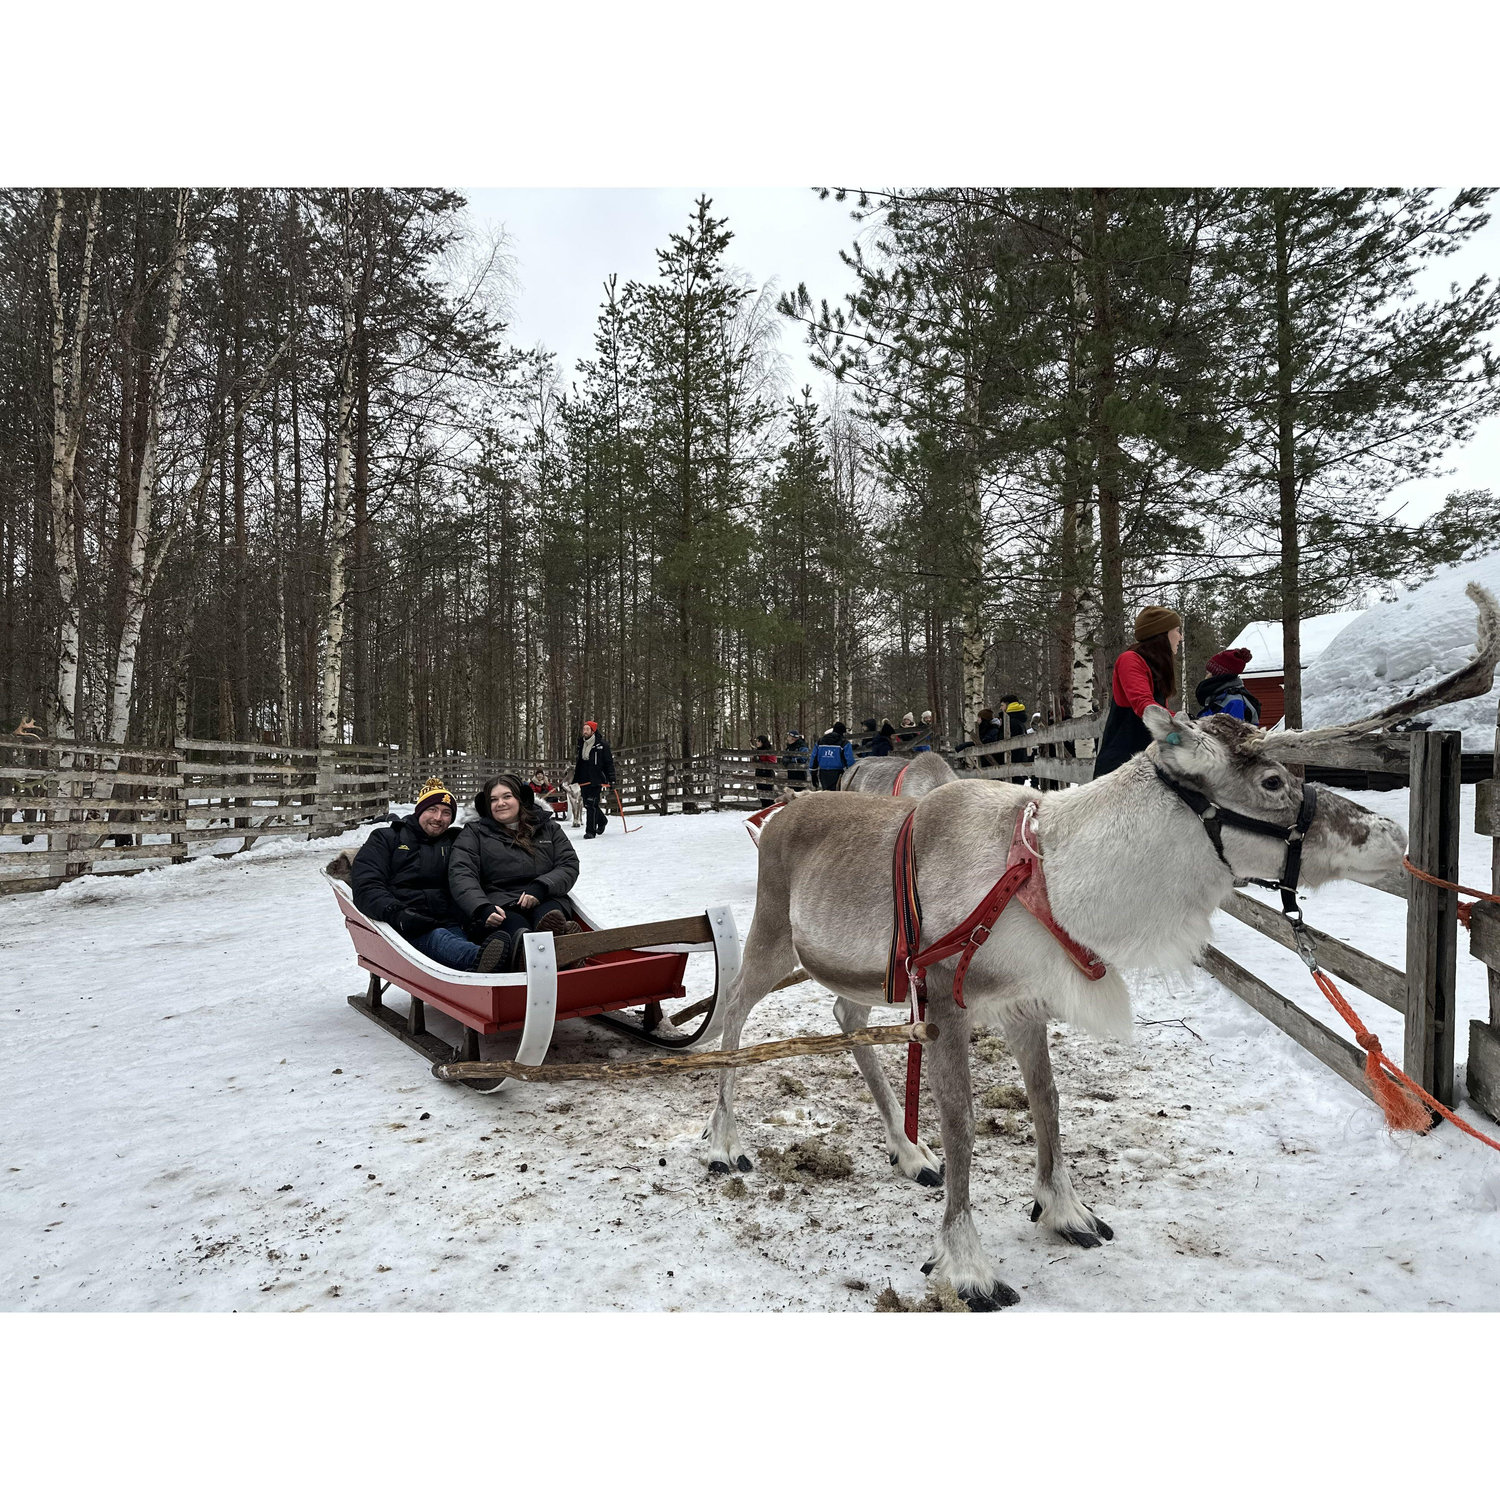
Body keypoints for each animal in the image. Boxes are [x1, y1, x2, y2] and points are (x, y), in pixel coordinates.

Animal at [701, 585, 1498, 1309]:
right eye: (1273, 780)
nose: (1393, 835)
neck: (1054, 881)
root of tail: (783, 809)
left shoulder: (1024, 998)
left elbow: (1049, 1102)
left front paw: (1064, 1210)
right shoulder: (949, 1002)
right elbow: (963, 1127)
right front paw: (966, 1263)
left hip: (865, 971)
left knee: (846, 1019)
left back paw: (906, 1150)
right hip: (774, 937)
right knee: (733, 1010)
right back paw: (723, 1143)